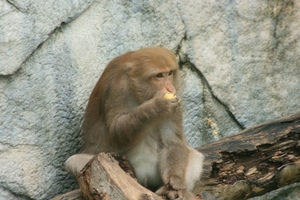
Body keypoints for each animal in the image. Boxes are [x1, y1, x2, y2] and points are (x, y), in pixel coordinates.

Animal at [65, 46, 204, 199]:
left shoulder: (176, 98)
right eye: (159, 76)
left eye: (169, 73)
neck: (139, 92)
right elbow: (116, 130)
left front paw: (176, 179)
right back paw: (130, 172)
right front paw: (156, 107)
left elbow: (172, 141)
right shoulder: (118, 87)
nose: (170, 88)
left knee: (195, 156)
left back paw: (169, 191)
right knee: (74, 161)